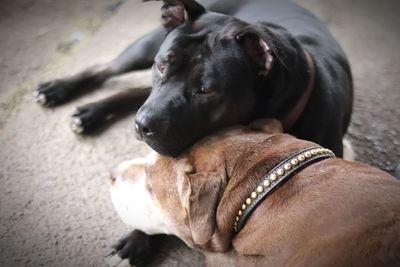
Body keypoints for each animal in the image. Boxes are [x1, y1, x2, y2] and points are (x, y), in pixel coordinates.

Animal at [35, 0, 354, 158]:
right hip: (145, 45)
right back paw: (59, 90)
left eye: (206, 90)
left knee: (136, 91)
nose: (142, 125)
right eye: (161, 66)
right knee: (106, 67)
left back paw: (91, 111)